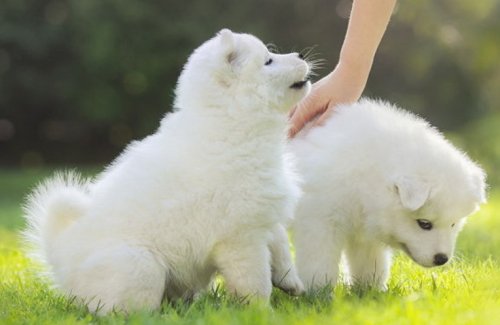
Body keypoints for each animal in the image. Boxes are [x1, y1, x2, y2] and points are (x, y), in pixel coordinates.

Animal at [26, 29, 312, 312]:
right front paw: (263, 313)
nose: (300, 54)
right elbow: (255, 282)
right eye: (268, 61)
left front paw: (292, 283)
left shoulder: (264, 214)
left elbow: (280, 247)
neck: (233, 121)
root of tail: (62, 259)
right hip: (142, 266)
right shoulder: (240, 239)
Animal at [292, 98, 486, 288]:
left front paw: (371, 290)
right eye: (424, 223)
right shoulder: (320, 221)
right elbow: (319, 261)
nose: (441, 259)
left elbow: (370, 263)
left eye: (453, 224)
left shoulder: (366, 229)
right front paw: (317, 290)